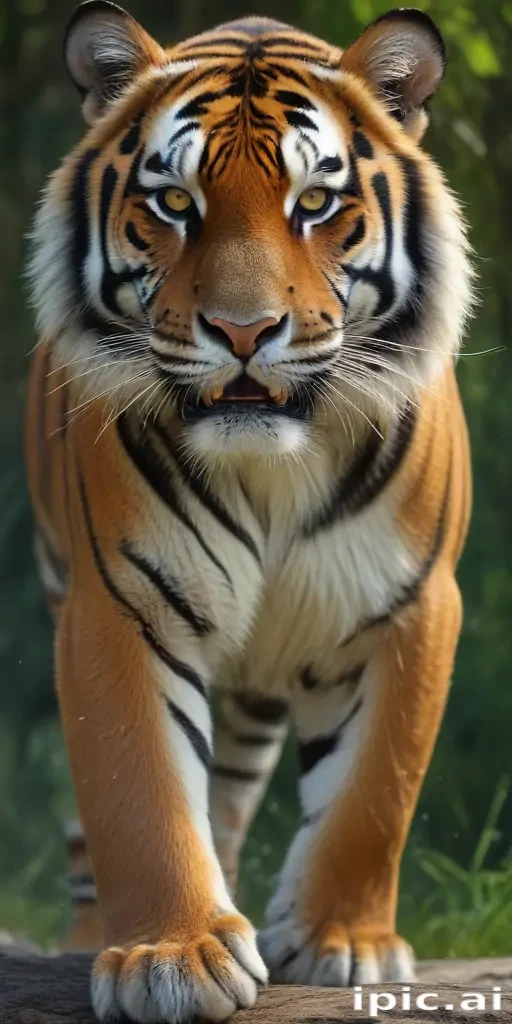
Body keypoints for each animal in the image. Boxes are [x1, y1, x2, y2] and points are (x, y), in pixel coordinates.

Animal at [25, 0, 473, 1020]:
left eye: (314, 203)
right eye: (174, 204)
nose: (241, 331)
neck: (275, 470)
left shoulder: (414, 604)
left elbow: (374, 794)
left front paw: (345, 942)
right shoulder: (118, 607)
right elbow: (138, 791)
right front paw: (171, 957)